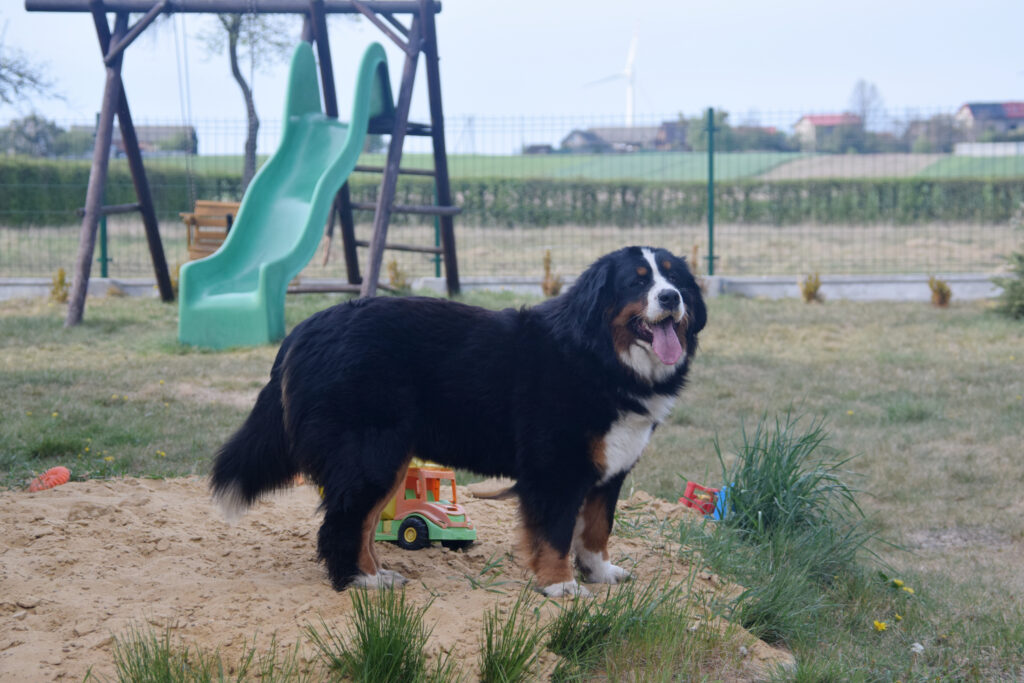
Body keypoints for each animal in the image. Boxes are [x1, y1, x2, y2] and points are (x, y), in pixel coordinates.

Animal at [207, 246, 704, 598]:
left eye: (674, 278)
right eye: (637, 282)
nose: (671, 297)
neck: (601, 358)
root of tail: (304, 328)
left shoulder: (609, 470)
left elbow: (597, 528)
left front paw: (600, 571)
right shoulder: (555, 470)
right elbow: (557, 533)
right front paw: (560, 584)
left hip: (385, 458)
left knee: (362, 525)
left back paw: (379, 574)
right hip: (373, 455)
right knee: (343, 524)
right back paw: (359, 582)